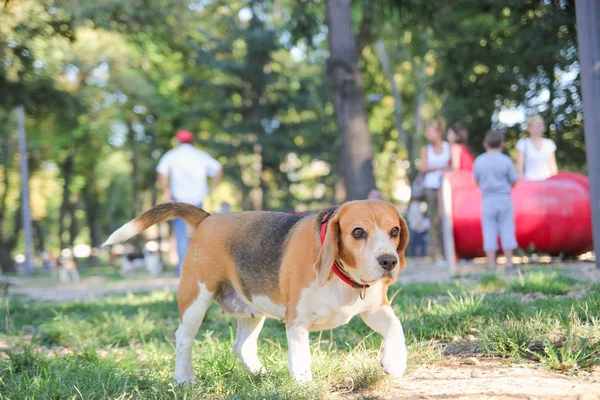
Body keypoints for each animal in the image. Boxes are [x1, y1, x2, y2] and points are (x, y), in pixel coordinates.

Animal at [105, 202, 410, 382]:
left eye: (394, 230)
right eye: (358, 232)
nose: (388, 261)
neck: (341, 273)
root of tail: (208, 218)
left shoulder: (376, 307)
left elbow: (396, 327)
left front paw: (393, 361)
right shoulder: (297, 320)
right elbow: (301, 355)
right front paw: (304, 383)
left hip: (251, 309)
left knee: (242, 346)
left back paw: (261, 374)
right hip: (196, 298)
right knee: (183, 338)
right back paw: (184, 379)